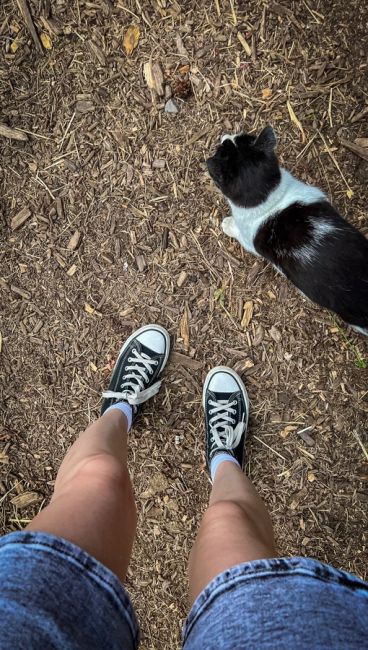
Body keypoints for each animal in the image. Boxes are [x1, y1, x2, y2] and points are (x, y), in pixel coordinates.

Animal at [207, 128, 368, 334]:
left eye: (221, 151)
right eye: (245, 136)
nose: (225, 136)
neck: (271, 200)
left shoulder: (248, 238)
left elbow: (235, 229)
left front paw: (227, 223)